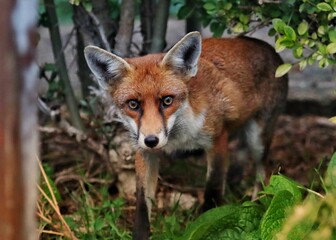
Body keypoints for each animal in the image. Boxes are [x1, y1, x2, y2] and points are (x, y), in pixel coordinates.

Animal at [84, 32, 288, 240]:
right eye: (133, 104)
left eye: (167, 100)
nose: (151, 140)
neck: (179, 136)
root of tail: (267, 47)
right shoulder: (144, 153)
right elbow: (141, 208)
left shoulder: (218, 140)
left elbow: (212, 193)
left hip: (258, 140)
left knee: (261, 173)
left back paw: (259, 202)